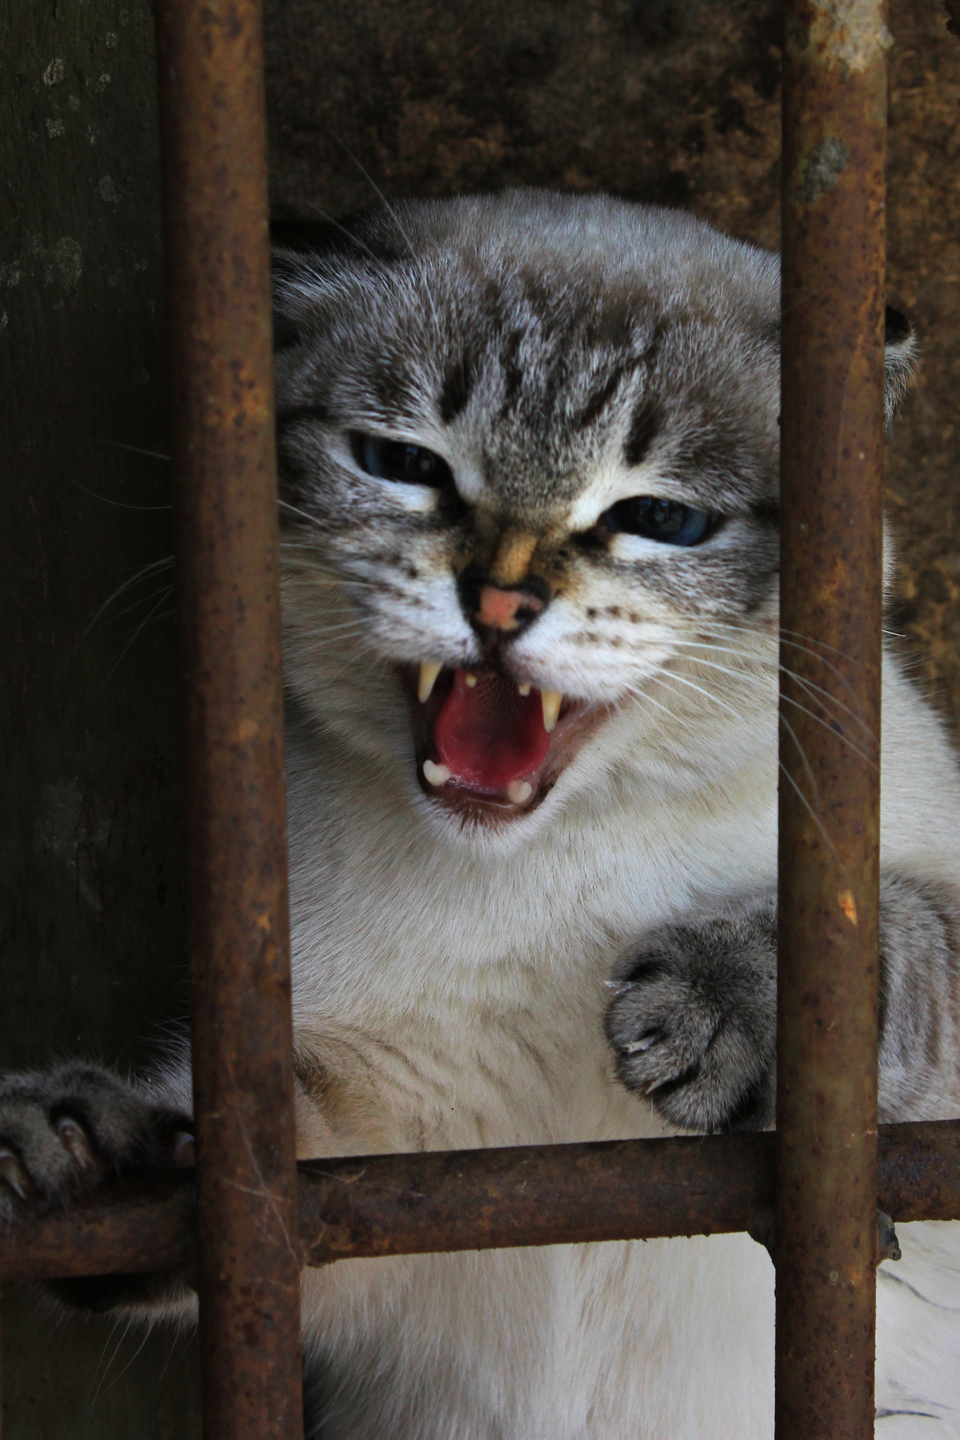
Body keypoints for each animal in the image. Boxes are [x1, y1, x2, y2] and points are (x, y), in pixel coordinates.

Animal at [1, 194, 960, 1440]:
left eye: (661, 518)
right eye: (403, 465)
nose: (499, 602)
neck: (543, 864)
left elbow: (887, 945)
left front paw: (717, 1007)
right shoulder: (399, 1152)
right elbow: (237, 1174)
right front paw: (85, 1147)